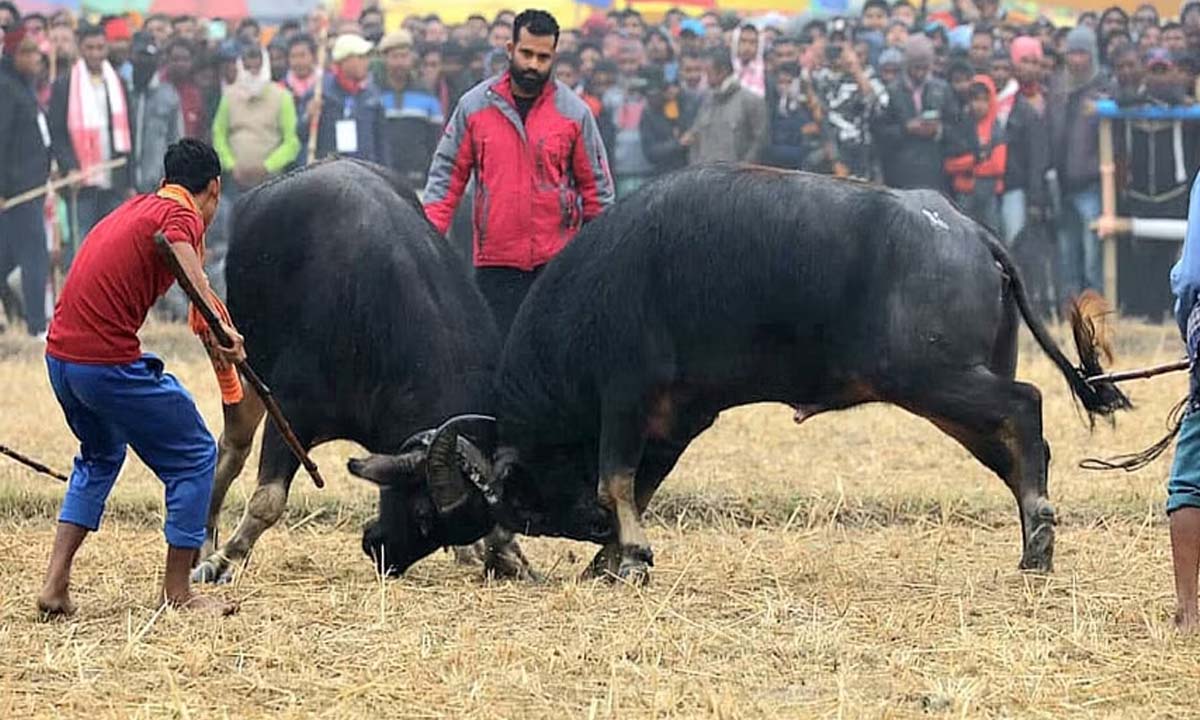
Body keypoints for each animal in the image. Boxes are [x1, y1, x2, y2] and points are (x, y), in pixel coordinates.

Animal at [193, 160, 530, 583]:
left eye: (447, 529)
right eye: (422, 513)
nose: (384, 554)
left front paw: (503, 552)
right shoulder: (292, 410)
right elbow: (268, 500)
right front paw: (225, 559)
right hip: (244, 361)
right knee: (232, 447)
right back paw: (205, 542)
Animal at [350, 163, 1128, 578]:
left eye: (429, 502)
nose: (376, 544)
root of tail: (968, 233)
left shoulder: (624, 398)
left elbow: (613, 479)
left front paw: (628, 556)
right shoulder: (675, 418)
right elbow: (636, 485)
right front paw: (614, 556)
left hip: (932, 378)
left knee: (1025, 408)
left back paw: (1040, 541)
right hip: (943, 390)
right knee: (1014, 445)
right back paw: (1033, 542)